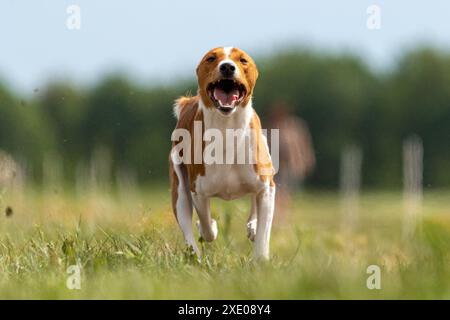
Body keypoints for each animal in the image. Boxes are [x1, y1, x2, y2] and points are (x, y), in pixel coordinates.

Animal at [169, 48, 274, 262]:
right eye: (211, 58)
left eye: (243, 60)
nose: (227, 67)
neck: (227, 130)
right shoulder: (198, 191)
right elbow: (207, 227)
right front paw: (209, 227)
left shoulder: (267, 187)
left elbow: (263, 232)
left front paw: (260, 258)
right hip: (179, 190)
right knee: (188, 227)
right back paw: (196, 258)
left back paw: (252, 226)